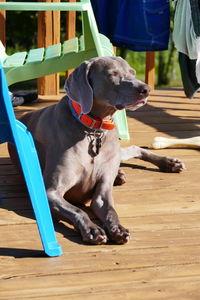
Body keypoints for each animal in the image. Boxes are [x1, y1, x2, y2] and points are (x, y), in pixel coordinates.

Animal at [12, 56, 185, 244]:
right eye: (112, 74)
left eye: (132, 72)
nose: (145, 89)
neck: (94, 129)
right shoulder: (50, 191)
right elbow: (78, 210)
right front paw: (93, 229)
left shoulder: (102, 193)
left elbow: (111, 211)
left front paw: (118, 229)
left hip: (116, 152)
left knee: (135, 149)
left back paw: (170, 163)